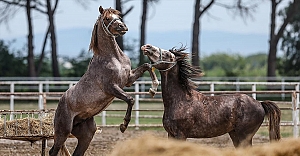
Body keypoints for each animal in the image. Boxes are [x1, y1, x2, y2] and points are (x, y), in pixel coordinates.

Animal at [48, 6, 159, 156]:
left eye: (119, 16)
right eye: (107, 18)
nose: (122, 26)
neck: (113, 58)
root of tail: (60, 104)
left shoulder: (128, 80)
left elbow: (147, 66)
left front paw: (153, 88)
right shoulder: (111, 87)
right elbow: (130, 99)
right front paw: (123, 125)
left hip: (87, 135)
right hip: (62, 132)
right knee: (53, 151)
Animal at [141, 43, 282, 147]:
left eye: (167, 54)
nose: (146, 46)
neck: (180, 100)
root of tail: (260, 104)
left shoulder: (180, 135)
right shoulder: (170, 134)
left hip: (244, 136)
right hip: (234, 134)